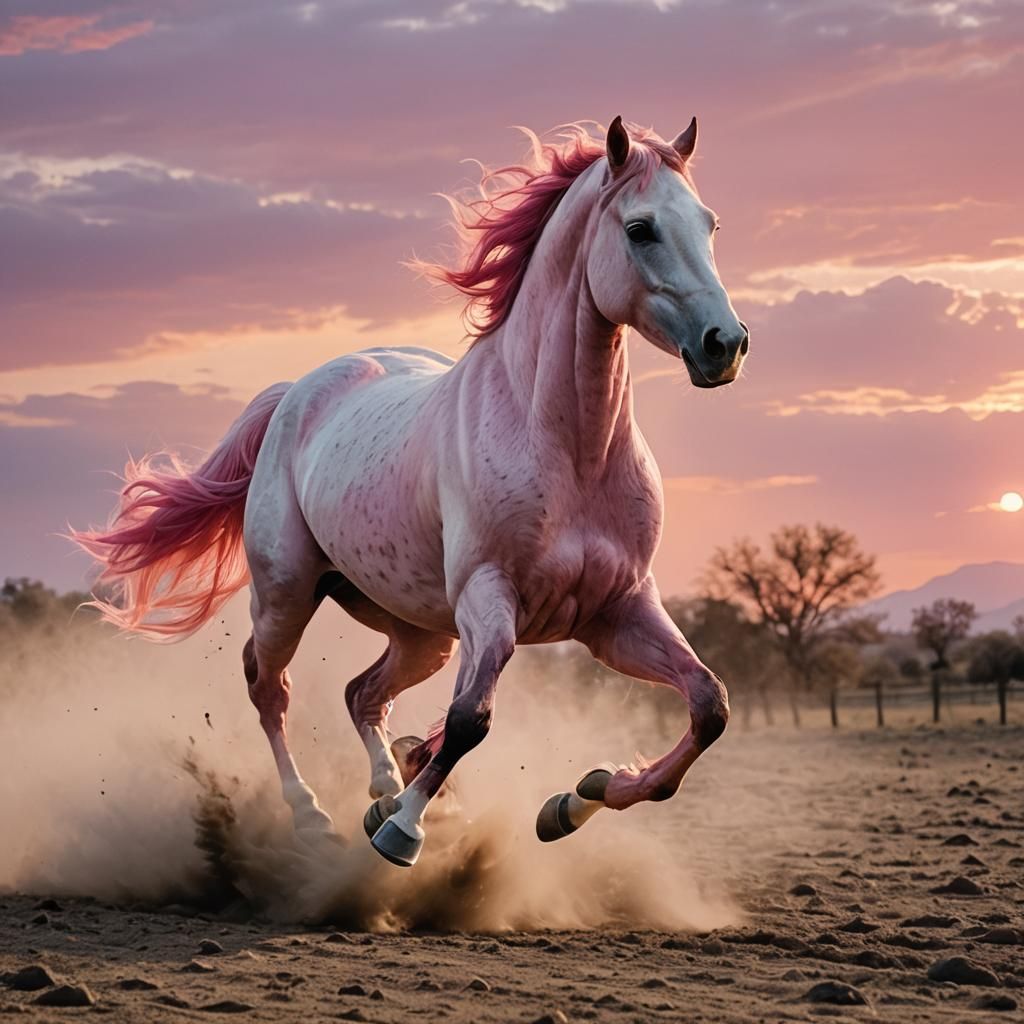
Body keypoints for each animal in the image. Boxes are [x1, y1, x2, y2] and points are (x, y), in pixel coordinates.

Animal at [72, 116, 749, 868]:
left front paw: (576, 798)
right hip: (287, 595)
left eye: (710, 223)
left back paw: (382, 786)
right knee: (267, 687)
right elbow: (469, 721)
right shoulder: (490, 599)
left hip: (423, 633)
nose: (726, 344)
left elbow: (709, 704)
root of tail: (297, 390)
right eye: (639, 229)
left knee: (361, 694)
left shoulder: (617, 613)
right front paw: (403, 832)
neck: (570, 450)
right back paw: (317, 816)